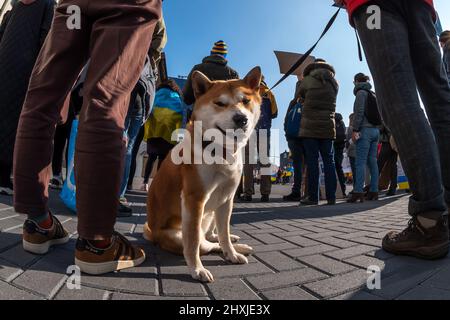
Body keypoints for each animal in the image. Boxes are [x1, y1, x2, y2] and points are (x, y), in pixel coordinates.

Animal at [144, 67, 264, 282]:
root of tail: (153, 234)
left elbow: (224, 233)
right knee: (203, 244)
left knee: (212, 237)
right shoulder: (195, 198)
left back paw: (236, 246)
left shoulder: (227, 198)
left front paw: (232, 253)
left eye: (245, 101)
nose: (241, 118)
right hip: (180, 230)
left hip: (212, 211)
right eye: (220, 103)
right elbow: (192, 243)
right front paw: (197, 269)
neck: (221, 151)